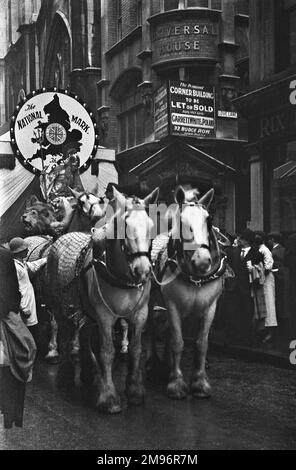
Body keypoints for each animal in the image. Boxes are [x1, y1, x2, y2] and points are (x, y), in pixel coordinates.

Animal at [154, 187, 225, 400]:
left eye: (209, 220)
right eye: (181, 222)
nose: (202, 261)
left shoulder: (210, 307)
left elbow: (201, 344)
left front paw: (200, 383)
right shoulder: (172, 304)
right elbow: (178, 342)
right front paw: (176, 384)